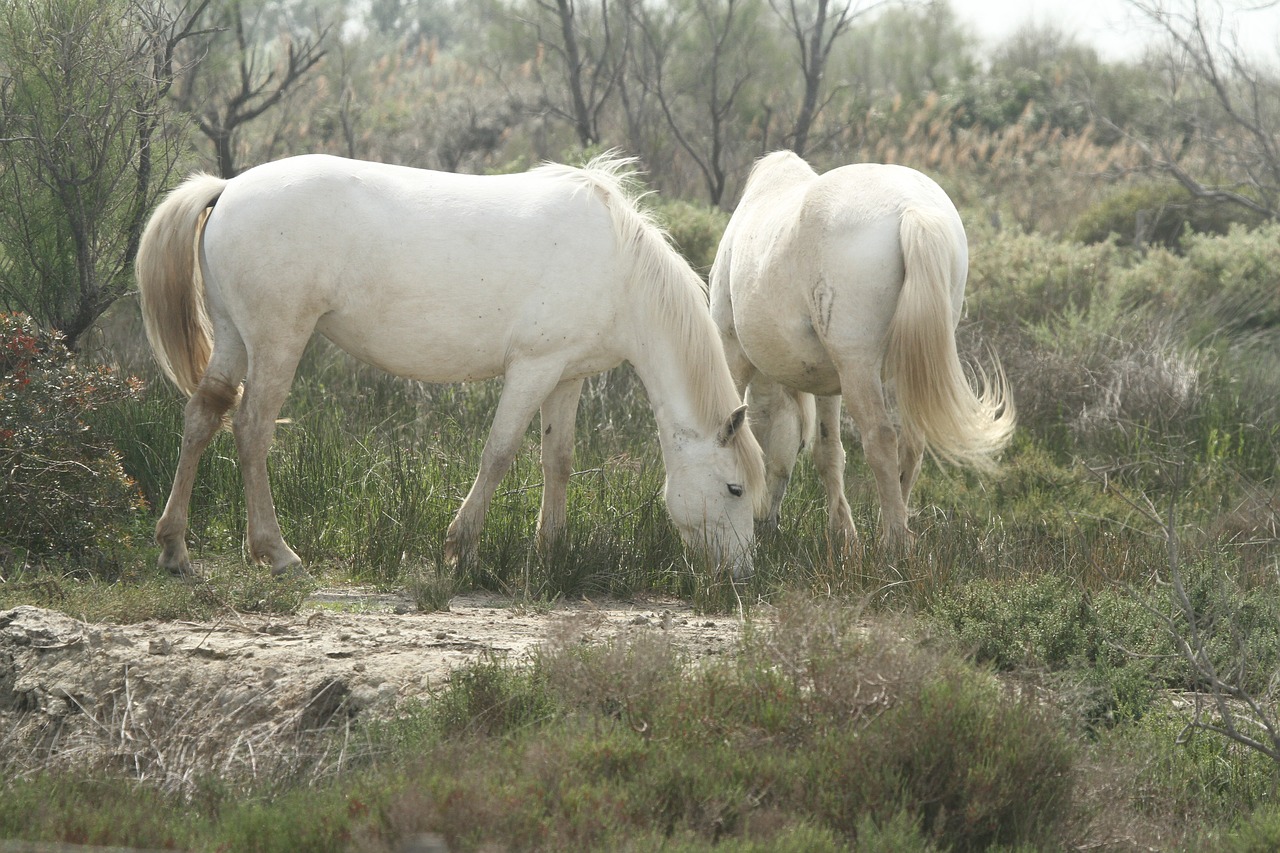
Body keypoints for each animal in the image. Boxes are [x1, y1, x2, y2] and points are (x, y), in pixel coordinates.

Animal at [136, 153, 762, 578]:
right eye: (734, 489)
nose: (740, 576)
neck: (617, 266)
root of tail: (229, 187)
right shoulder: (533, 369)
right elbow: (500, 453)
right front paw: (461, 547)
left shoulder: (567, 375)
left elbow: (557, 460)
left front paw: (550, 551)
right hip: (277, 341)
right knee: (251, 429)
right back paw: (277, 551)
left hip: (233, 339)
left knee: (203, 417)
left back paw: (174, 547)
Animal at [706, 149, 1013, 548]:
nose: (764, 521)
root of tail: (912, 210)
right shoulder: (825, 381)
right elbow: (828, 452)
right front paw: (843, 533)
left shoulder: (733, 352)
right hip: (902, 370)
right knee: (911, 444)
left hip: (859, 368)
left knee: (881, 439)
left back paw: (894, 541)